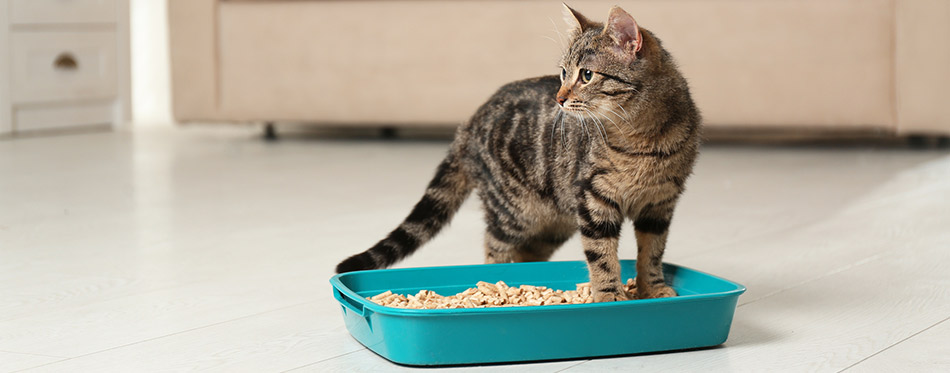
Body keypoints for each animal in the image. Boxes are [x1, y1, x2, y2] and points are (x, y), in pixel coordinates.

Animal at [334, 5, 700, 302]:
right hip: (514, 211)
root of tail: (469, 123)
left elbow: (651, 253)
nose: (559, 98)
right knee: (494, 247)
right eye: (563, 73)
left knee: (527, 254)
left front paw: (653, 288)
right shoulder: (594, 202)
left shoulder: (660, 205)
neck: (643, 138)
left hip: (554, 221)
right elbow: (602, 256)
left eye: (586, 75)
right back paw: (498, 284)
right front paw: (609, 295)